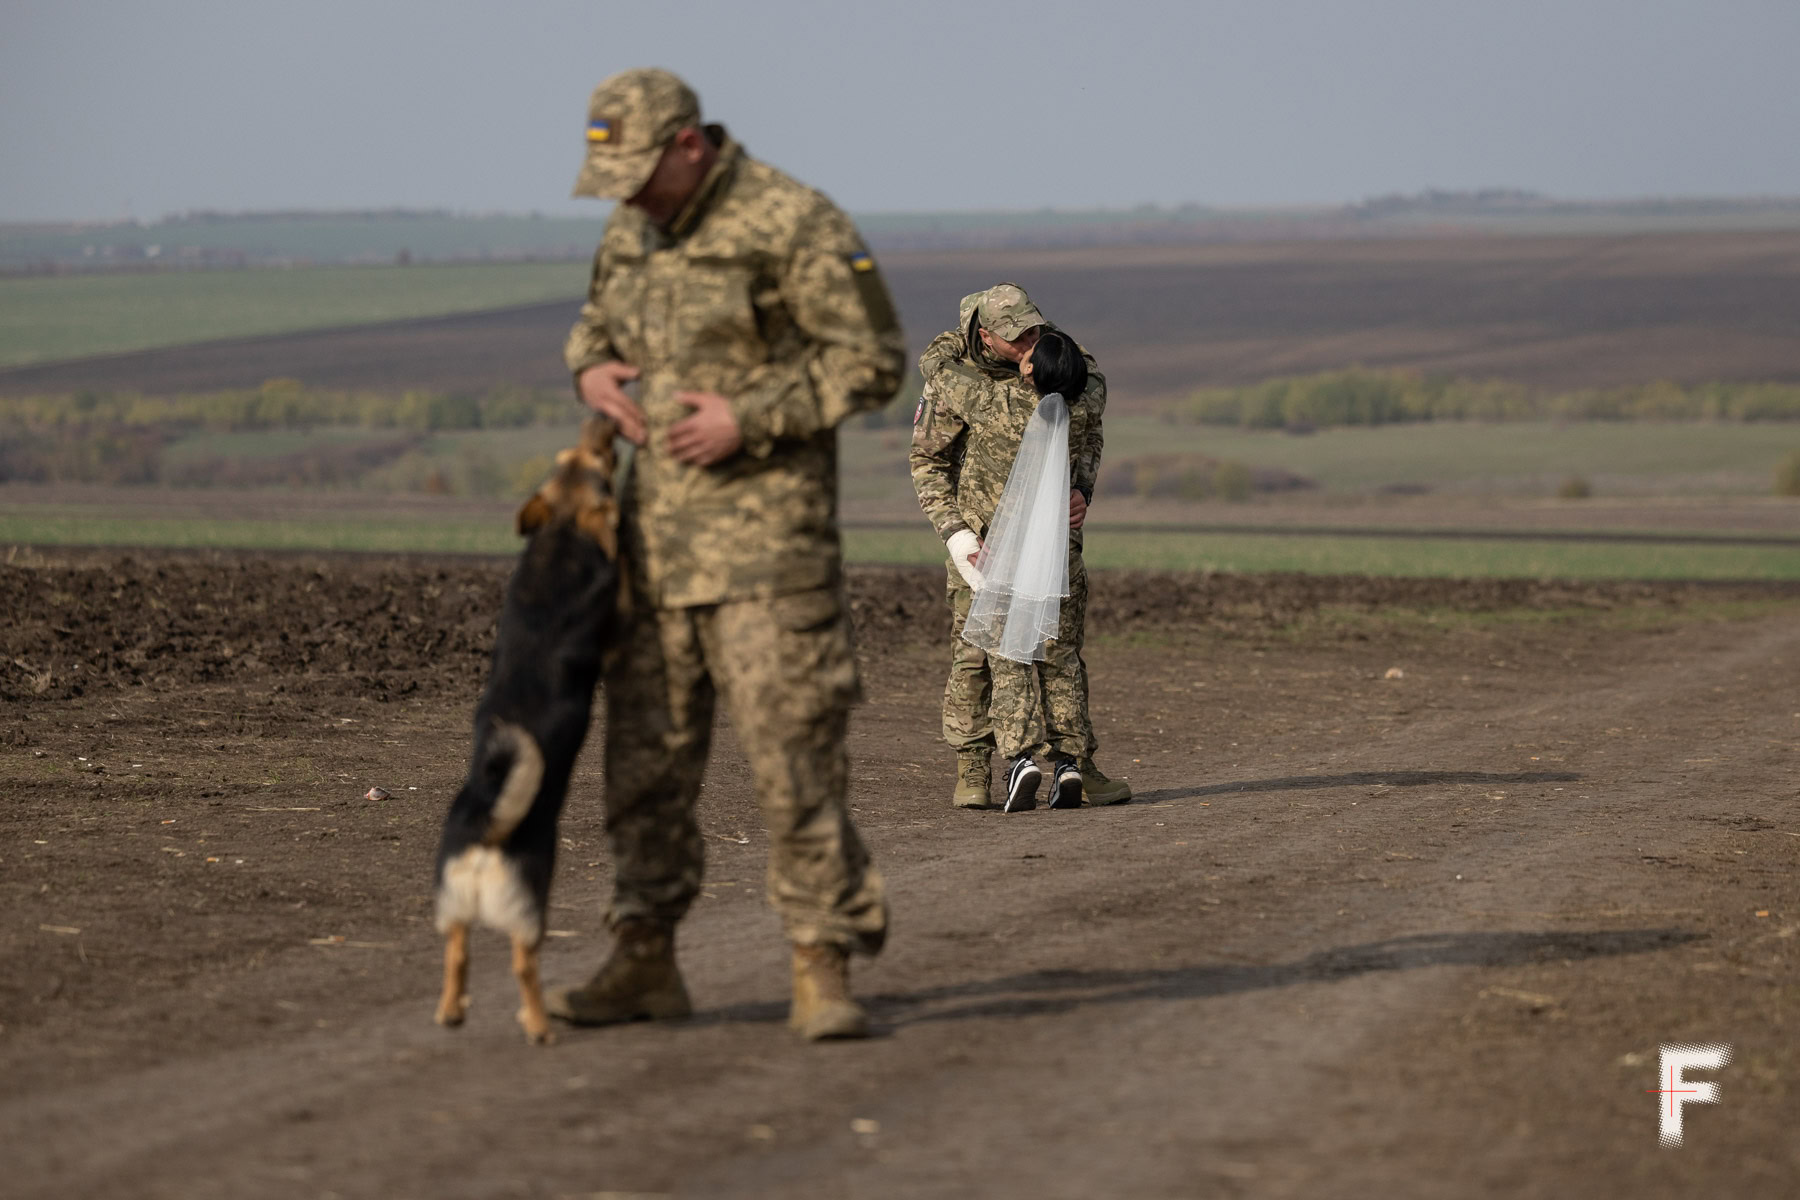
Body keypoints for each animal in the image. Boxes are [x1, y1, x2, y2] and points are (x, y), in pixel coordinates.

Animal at [432, 417, 622, 1043]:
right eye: (597, 461)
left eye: (568, 455)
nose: (600, 419)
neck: (560, 533)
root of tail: (490, 833)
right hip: (531, 906)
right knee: (522, 964)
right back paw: (539, 1025)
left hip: (453, 909)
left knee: (457, 954)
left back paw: (452, 1012)